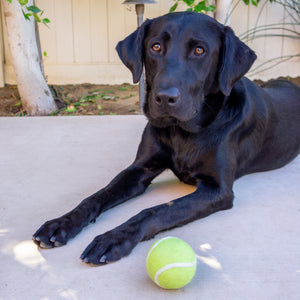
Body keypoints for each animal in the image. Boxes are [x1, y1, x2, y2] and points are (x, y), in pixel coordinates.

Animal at [32, 11, 300, 264]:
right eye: (156, 46)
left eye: (200, 50)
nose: (164, 98)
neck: (181, 132)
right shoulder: (140, 168)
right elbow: (97, 195)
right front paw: (61, 223)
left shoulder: (217, 190)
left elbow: (156, 211)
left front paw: (113, 238)